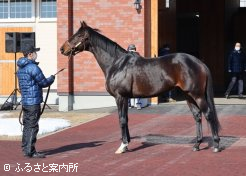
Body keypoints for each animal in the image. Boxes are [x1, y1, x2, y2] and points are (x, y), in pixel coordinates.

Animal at [59, 21, 221, 153]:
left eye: (78, 35)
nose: (62, 49)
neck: (116, 63)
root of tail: (199, 62)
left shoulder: (120, 97)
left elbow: (121, 119)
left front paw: (123, 146)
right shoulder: (125, 98)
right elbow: (125, 119)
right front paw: (127, 143)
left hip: (197, 95)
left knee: (208, 114)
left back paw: (216, 145)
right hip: (188, 96)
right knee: (197, 116)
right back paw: (197, 145)